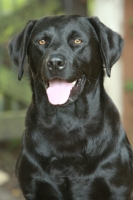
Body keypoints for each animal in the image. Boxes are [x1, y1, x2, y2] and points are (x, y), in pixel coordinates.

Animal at [8, 15, 133, 200]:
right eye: (42, 41)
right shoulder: (33, 186)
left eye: (77, 40)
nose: (55, 62)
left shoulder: (118, 187)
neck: (67, 125)